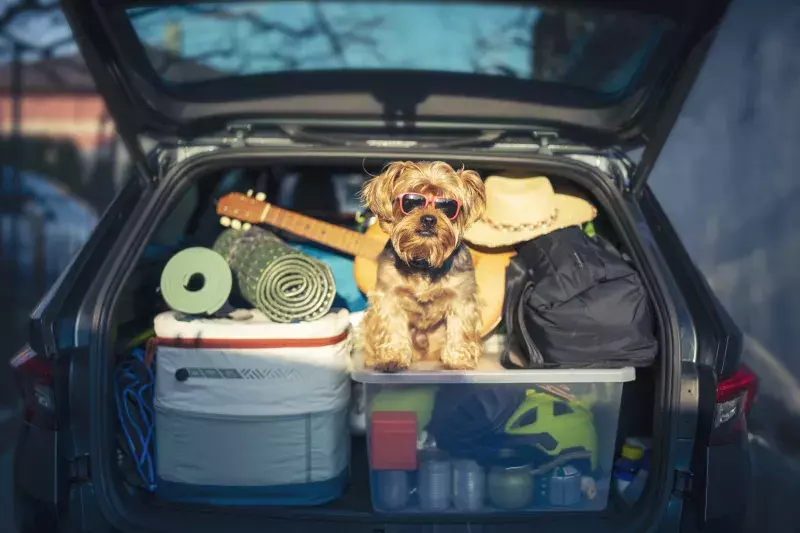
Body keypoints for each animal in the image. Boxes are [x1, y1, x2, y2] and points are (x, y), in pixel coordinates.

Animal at [358, 160, 484, 372]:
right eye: (412, 202)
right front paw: (392, 358)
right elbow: (392, 326)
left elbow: (459, 328)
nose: (429, 218)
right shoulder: (389, 296)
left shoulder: (461, 297)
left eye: (447, 206)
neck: (423, 259)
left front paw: (458, 360)